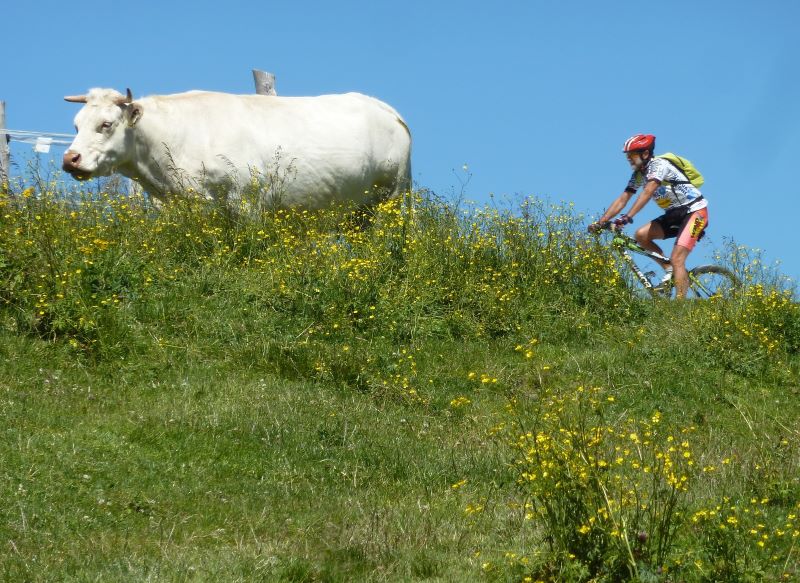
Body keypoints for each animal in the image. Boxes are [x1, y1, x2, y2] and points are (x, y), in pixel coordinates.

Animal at [63, 90, 412, 209]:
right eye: (76, 125)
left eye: (106, 124)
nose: (70, 158)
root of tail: (385, 109)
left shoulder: (246, 200)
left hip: (390, 196)